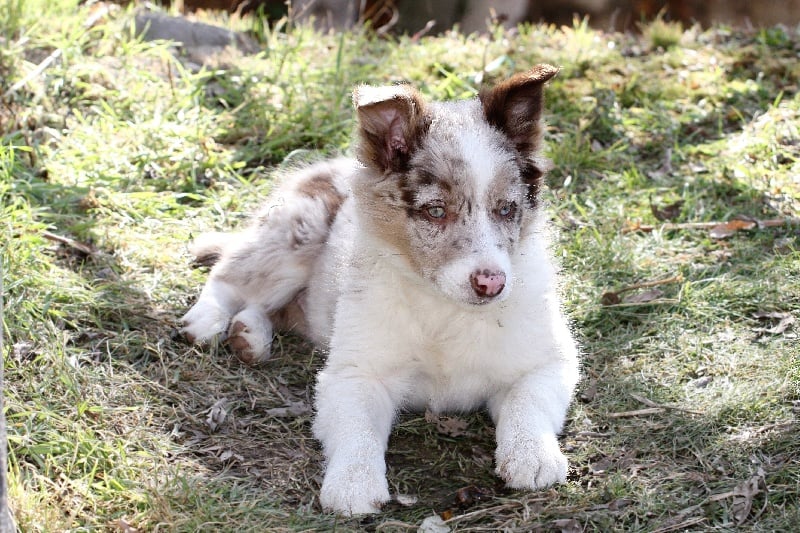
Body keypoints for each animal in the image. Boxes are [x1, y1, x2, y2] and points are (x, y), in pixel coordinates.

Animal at [182, 63, 580, 516]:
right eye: (435, 211)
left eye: (507, 209)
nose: (492, 284)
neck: (444, 308)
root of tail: (333, 166)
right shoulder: (355, 373)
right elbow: (357, 430)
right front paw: (353, 484)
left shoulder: (550, 361)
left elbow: (527, 402)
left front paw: (533, 455)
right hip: (295, 233)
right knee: (233, 273)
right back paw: (208, 320)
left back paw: (248, 335)